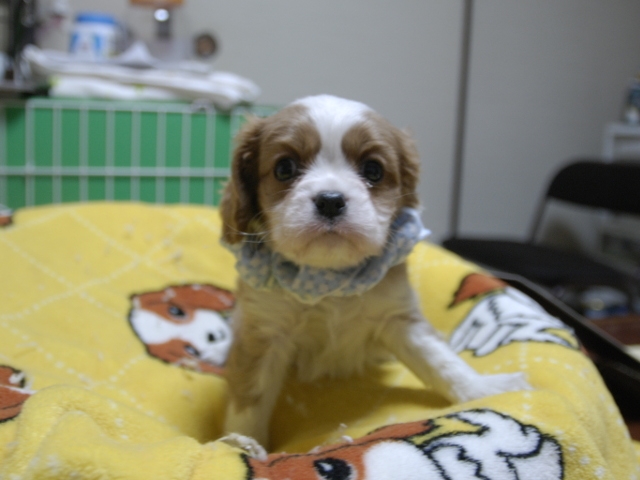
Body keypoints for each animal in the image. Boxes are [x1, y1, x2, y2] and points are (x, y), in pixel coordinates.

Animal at [220, 94, 530, 447]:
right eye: (285, 168)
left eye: (373, 170)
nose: (330, 200)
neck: (329, 278)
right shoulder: (263, 332)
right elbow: (249, 396)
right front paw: (240, 444)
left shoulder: (399, 319)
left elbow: (439, 360)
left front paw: (483, 390)